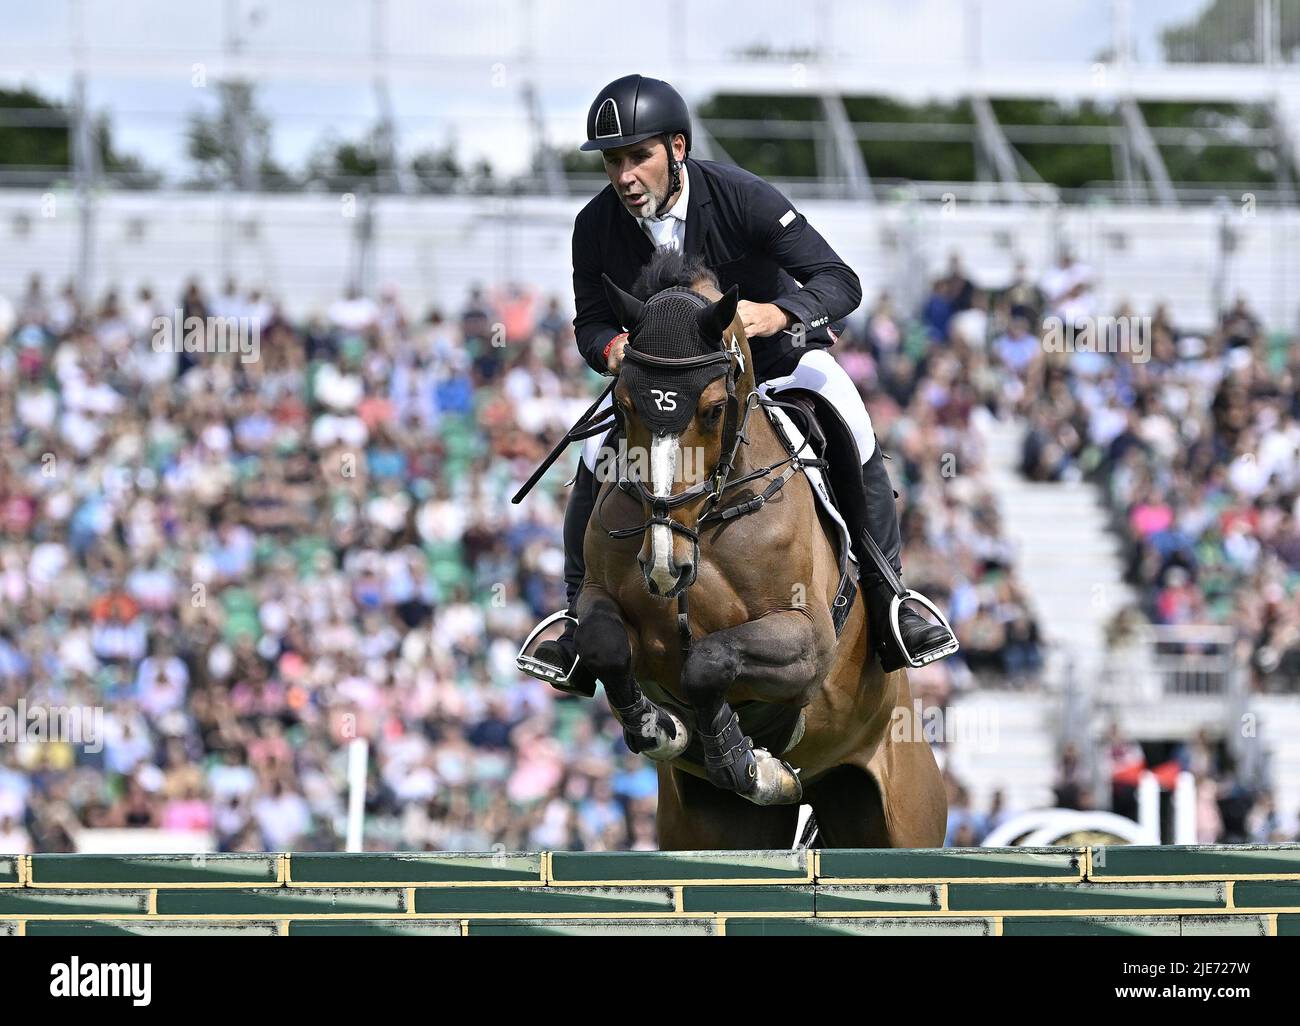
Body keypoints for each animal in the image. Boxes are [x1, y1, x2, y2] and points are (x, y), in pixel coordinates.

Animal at [579, 262, 946, 847]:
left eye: (713, 410)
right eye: (624, 405)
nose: (664, 567)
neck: (704, 522)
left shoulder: (809, 642)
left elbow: (708, 662)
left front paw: (746, 761)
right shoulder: (599, 601)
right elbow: (603, 646)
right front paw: (666, 730)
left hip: (902, 814)